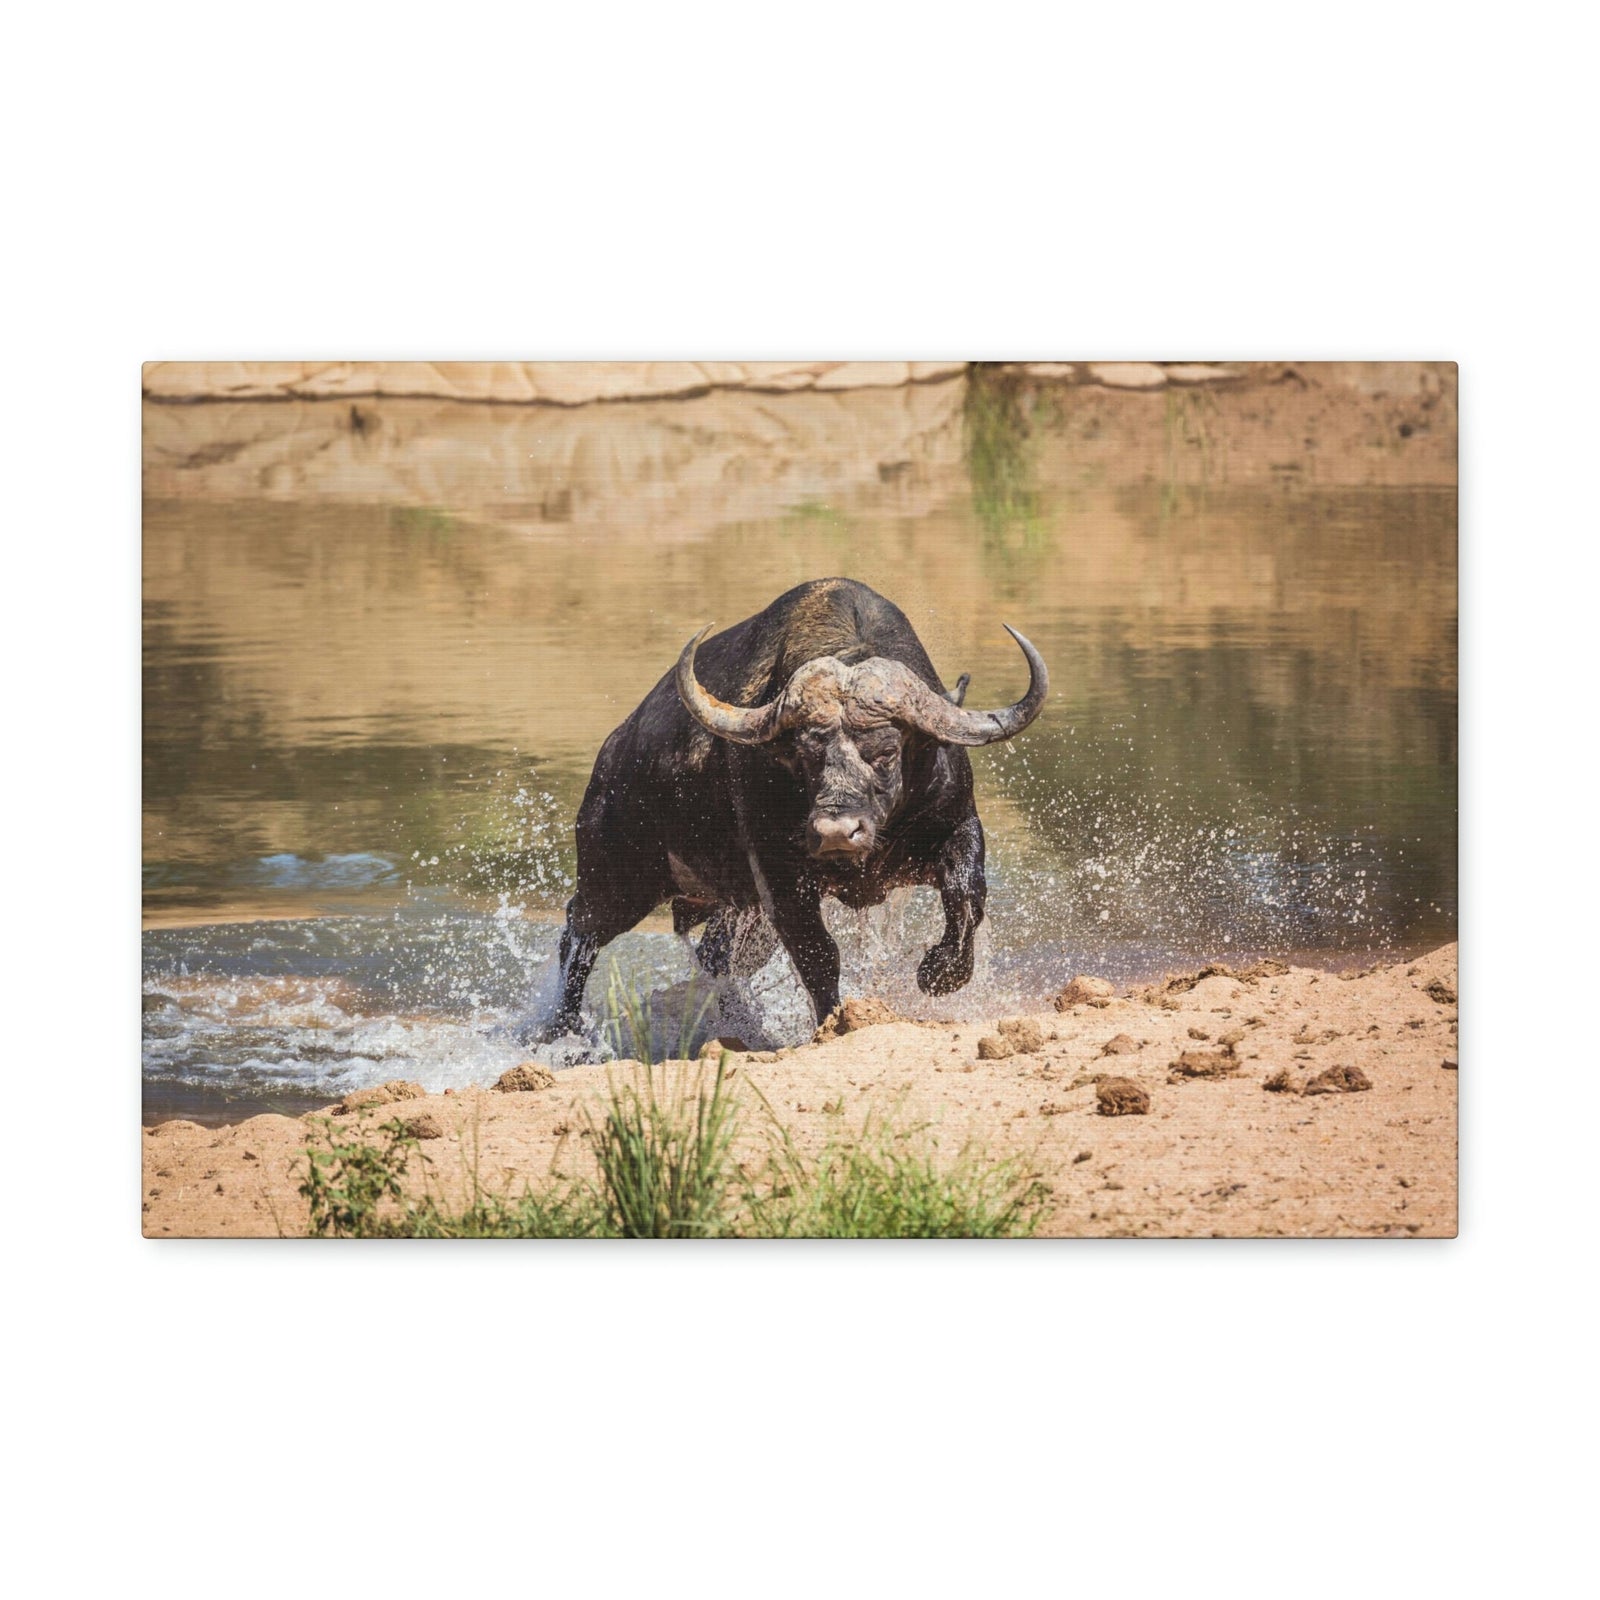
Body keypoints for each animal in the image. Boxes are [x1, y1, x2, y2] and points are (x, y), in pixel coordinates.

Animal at [547, 577, 1048, 1036]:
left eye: (887, 750)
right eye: (804, 755)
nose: (836, 833)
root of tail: (613, 752)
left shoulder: (956, 825)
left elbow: (966, 898)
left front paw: (939, 973)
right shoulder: (779, 875)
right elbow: (817, 953)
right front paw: (835, 1021)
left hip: (733, 908)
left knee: (716, 956)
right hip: (617, 880)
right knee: (579, 935)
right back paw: (563, 1031)